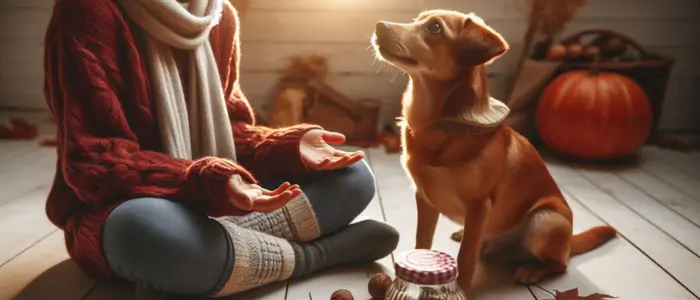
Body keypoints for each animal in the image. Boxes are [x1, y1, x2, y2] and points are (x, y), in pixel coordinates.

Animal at [370, 9, 616, 296]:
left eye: (435, 28)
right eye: (416, 19)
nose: (379, 26)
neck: (438, 122)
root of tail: (569, 242)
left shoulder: (479, 205)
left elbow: (466, 257)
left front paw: (462, 289)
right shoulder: (424, 198)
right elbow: (423, 240)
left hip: (543, 222)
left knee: (559, 265)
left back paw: (532, 270)